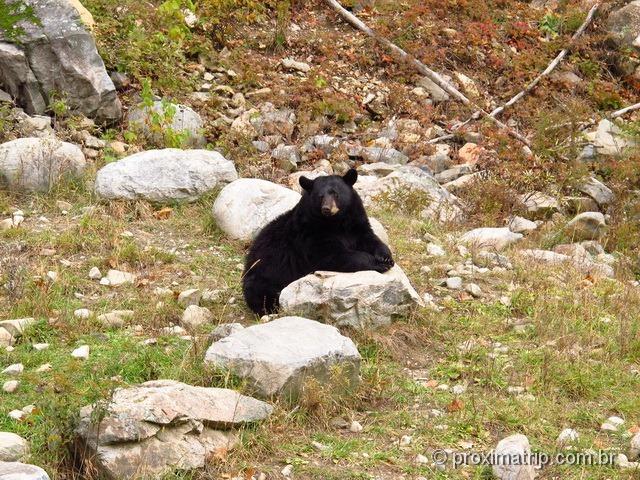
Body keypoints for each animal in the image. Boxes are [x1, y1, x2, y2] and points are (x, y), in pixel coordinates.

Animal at [242, 169, 396, 316]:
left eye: (335, 194)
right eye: (320, 196)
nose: (326, 209)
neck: (336, 222)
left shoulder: (355, 223)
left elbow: (369, 238)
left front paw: (385, 257)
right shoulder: (309, 234)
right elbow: (332, 255)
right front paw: (378, 263)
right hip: (266, 275)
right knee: (263, 293)